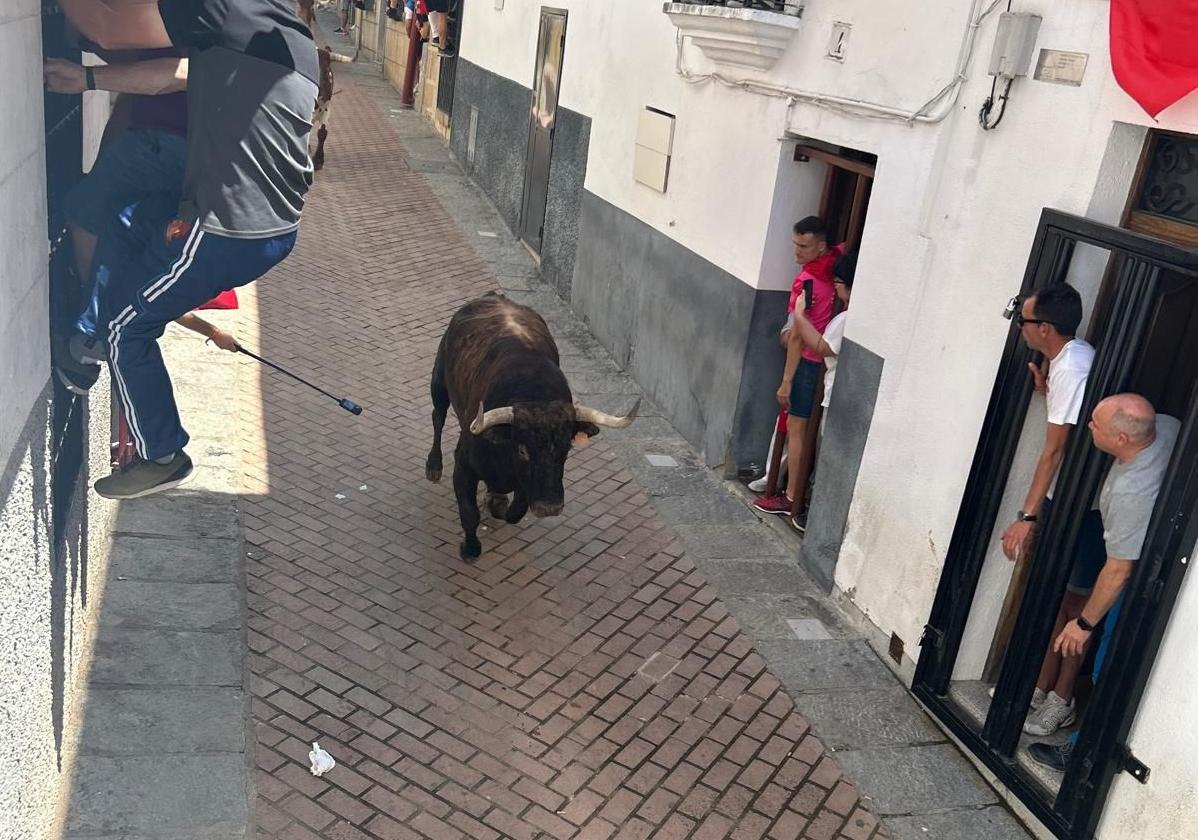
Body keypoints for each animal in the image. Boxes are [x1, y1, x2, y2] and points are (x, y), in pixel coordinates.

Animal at [428, 291, 637, 560]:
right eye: (522, 450)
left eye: (567, 449)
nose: (550, 507)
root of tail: (493, 296)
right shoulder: (464, 465)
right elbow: (469, 512)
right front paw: (471, 549)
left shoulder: (525, 486)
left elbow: (515, 512)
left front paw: (497, 502)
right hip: (439, 382)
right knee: (438, 417)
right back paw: (433, 466)